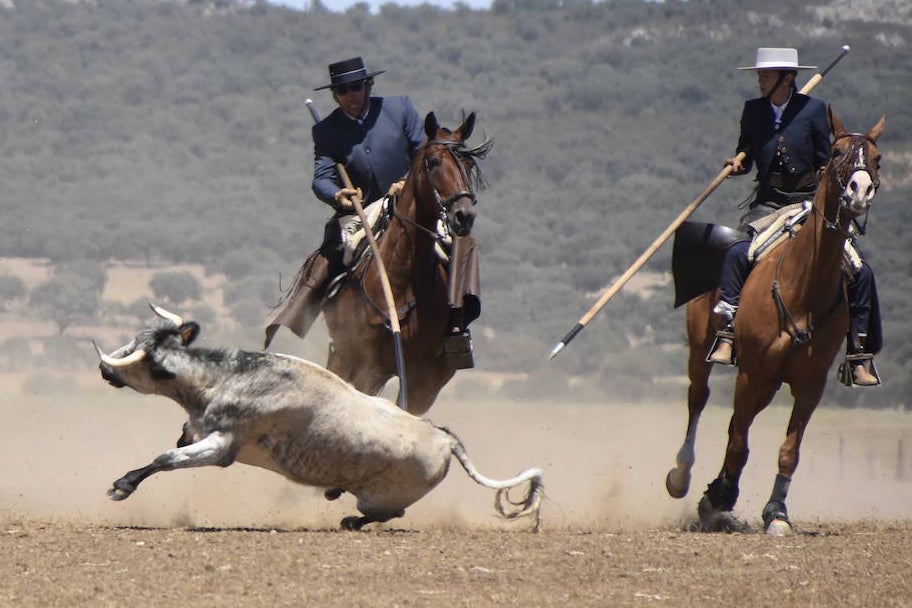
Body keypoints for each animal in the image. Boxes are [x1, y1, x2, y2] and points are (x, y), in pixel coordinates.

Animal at [96, 306, 544, 528]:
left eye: (136, 355)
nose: (103, 368)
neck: (228, 378)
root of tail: (444, 438)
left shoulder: (224, 446)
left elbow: (166, 459)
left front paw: (122, 486)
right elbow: (178, 443)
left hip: (383, 496)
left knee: (388, 513)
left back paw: (348, 520)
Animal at [322, 111, 492, 416]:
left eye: (469, 164)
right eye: (433, 161)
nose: (464, 216)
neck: (398, 280)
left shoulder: (422, 378)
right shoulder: (353, 358)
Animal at [664, 107, 884, 536]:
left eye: (877, 159)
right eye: (836, 152)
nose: (859, 191)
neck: (804, 288)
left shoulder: (809, 385)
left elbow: (788, 451)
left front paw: (776, 512)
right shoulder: (752, 371)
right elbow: (739, 444)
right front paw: (719, 497)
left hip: (768, 383)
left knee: (738, 421)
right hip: (704, 353)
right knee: (700, 399)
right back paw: (683, 476)